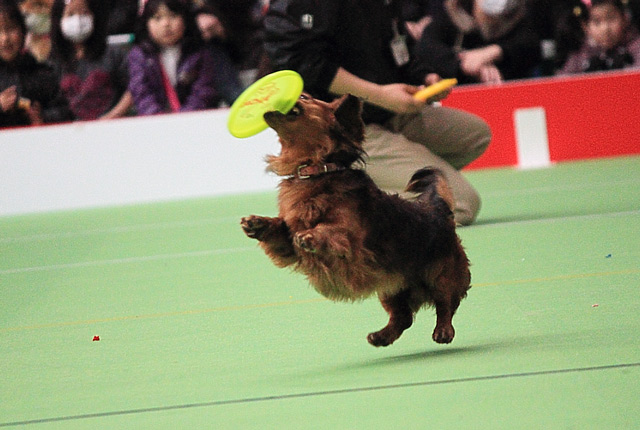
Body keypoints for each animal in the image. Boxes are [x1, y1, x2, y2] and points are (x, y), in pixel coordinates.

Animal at [240, 93, 470, 346]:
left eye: (306, 97)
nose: (291, 94)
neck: (317, 174)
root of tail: (436, 208)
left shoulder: (351, 242)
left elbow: (332, 230)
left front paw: (311, 236)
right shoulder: (289, 243)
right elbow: (281, 229)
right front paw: (258, 223)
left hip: (440, 272)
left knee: (446, 302)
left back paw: (443, 330)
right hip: (391, 285)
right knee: (403, 317)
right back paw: (381, 336)